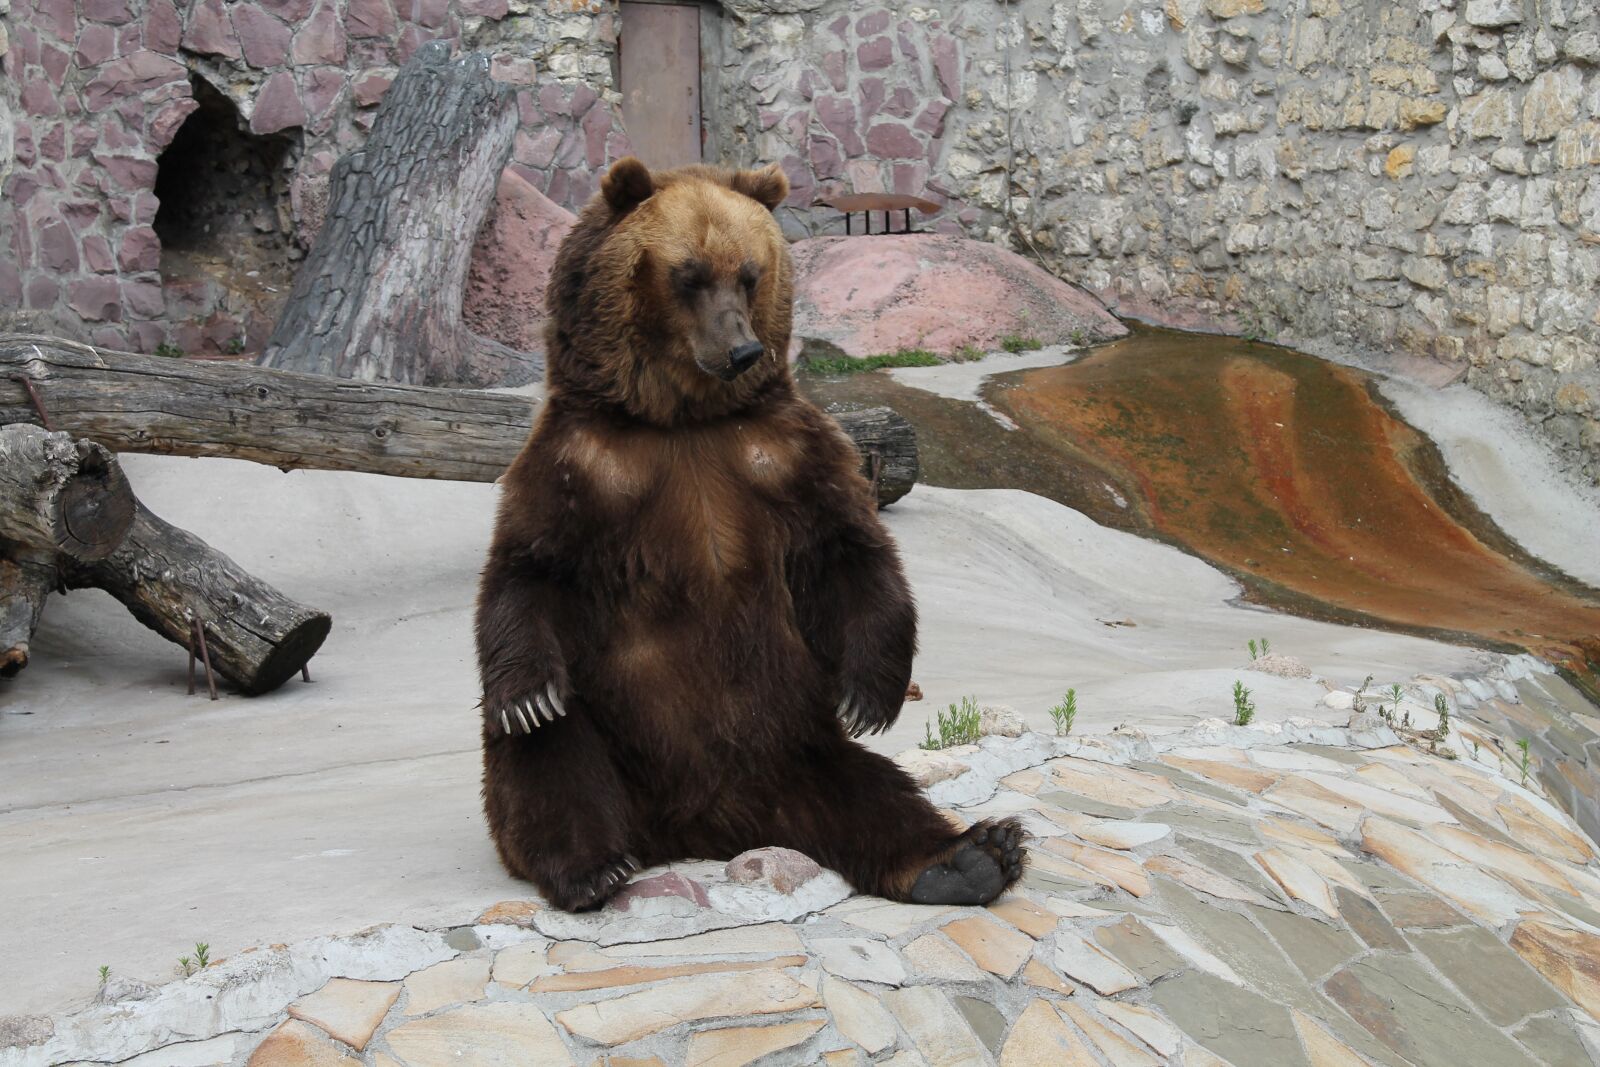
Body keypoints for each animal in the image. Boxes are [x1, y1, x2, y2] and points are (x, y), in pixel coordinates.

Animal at [475, 157, 1026, 912]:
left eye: (750, 272)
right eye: (688, 273)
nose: (741, 349)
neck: (683, 418)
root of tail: (709, 825)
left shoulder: (782, 453)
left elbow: (849, 553)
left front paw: (869, 696)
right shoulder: (585, 463)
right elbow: (532, 566)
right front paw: (529, 693)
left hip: (801, 743)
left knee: (875, 790)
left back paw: (969, 856)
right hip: (616, 732)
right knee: (548, 755)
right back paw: (590, 867)